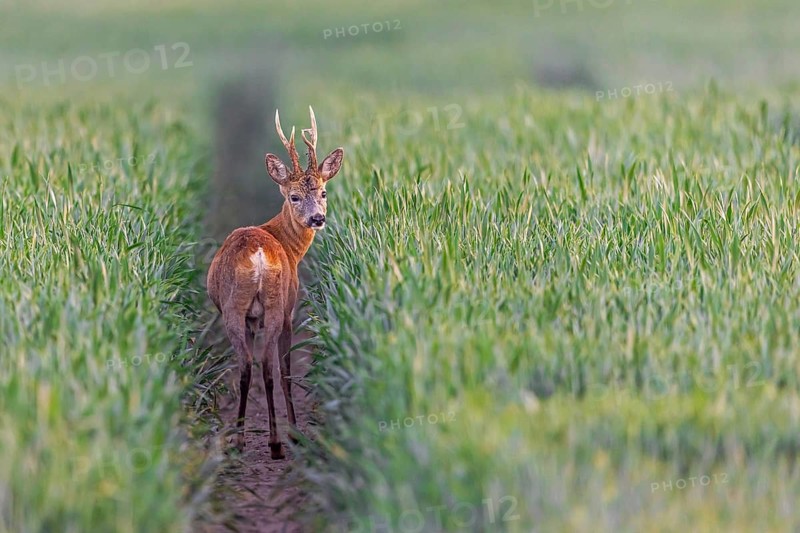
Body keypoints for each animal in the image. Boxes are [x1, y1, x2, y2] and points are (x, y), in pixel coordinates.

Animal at [207, 106, 344, 459]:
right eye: (294, 196)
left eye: (323, 192)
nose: (318, 218)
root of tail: (257, 255)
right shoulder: (290, 310)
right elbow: (286, 371)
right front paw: (294, 430)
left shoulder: (255, 317)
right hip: (272, 304)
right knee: (266, 367)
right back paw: (274, 441)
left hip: (239, 308)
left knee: (248, 366)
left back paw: (247, 439)